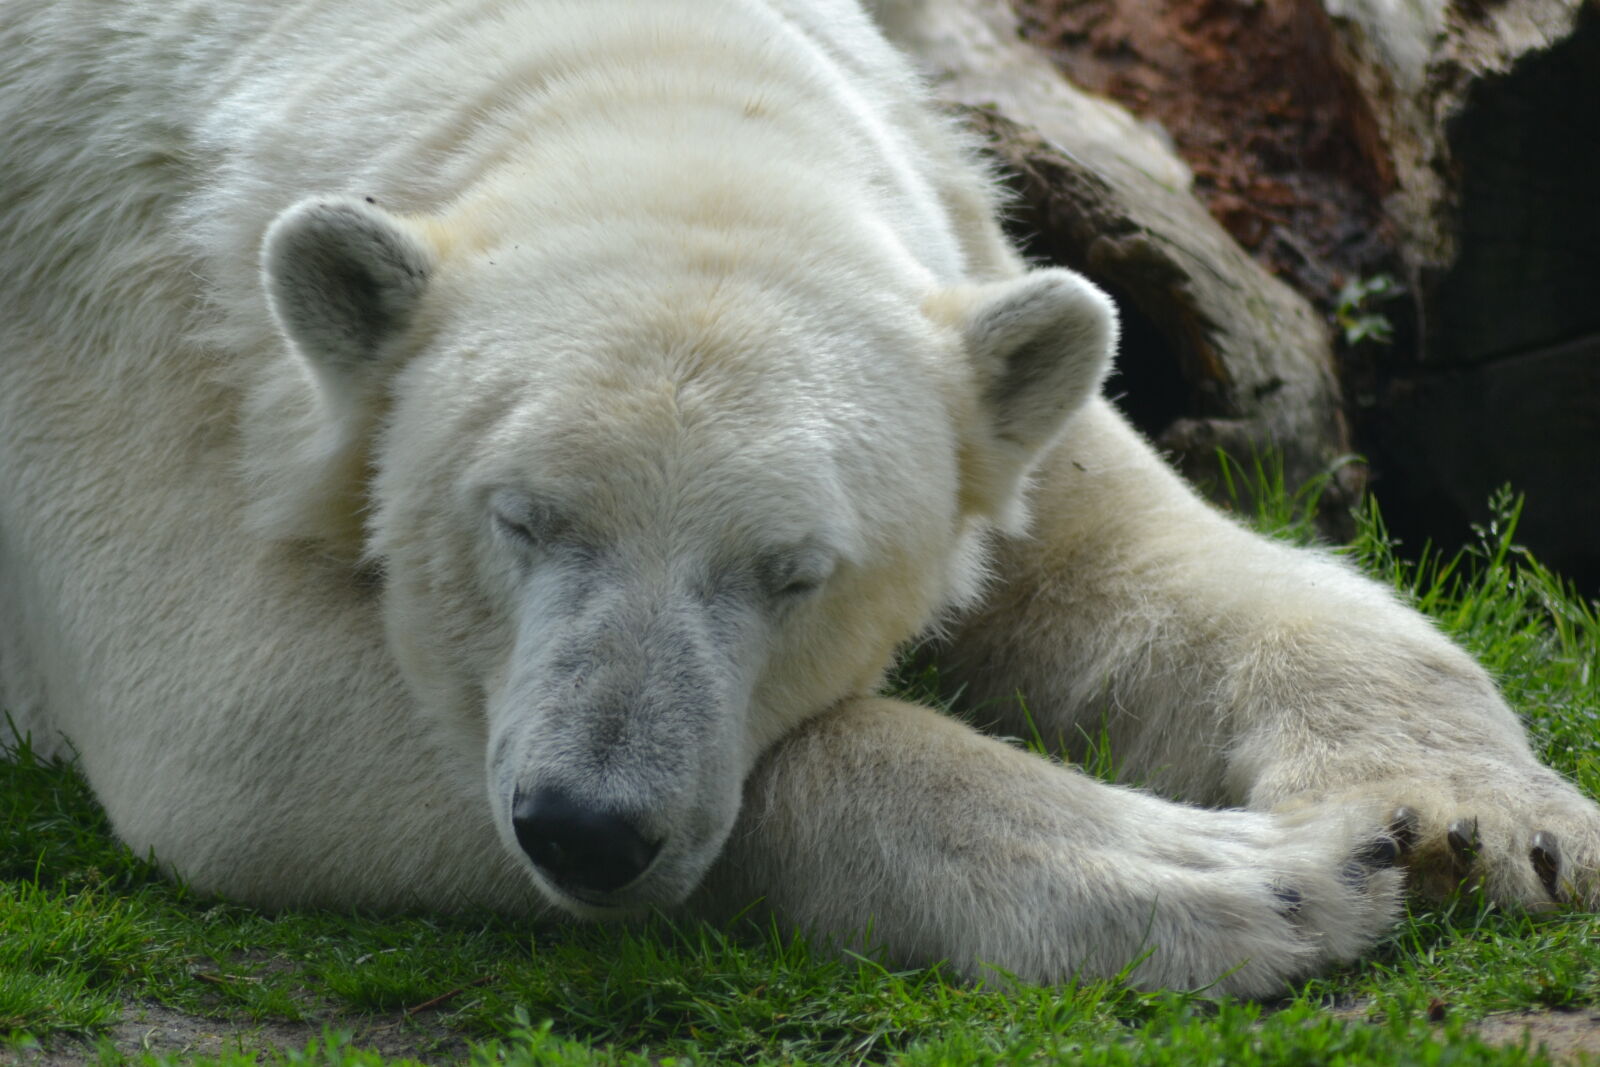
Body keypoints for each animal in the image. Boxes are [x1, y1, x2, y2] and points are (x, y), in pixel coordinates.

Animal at [0, 0, 1595, 998]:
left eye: (791, 568)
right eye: (521, 518)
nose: (588, 826)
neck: (616, 74)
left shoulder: (964, 296)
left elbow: (1130, 559)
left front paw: (1471, 820)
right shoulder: (130, 332)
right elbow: (231, 717)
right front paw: (1256, 875)